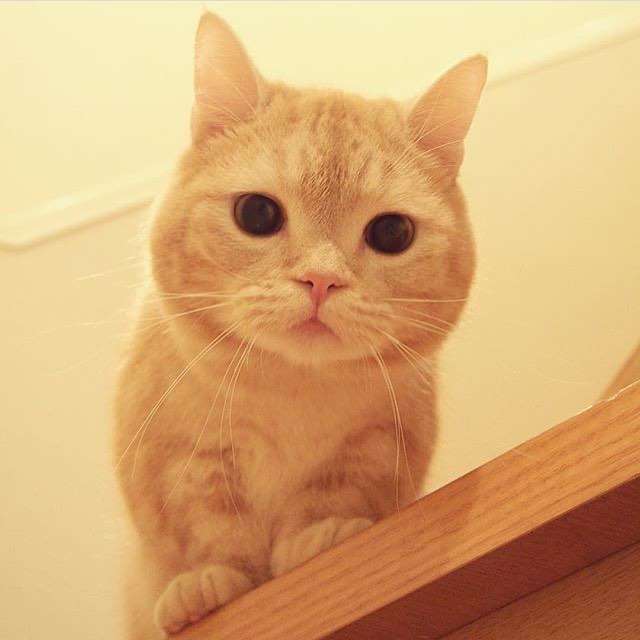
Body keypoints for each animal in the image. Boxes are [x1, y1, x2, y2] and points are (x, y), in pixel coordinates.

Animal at [114, 11, 486, 638]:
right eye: (256, 213)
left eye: (392, 233)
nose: (321, 280)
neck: (290, 392)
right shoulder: (174, 458)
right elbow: (210, 528)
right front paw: (208, 584)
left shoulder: (378, 445)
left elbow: (335, 492)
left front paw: (319, 537)